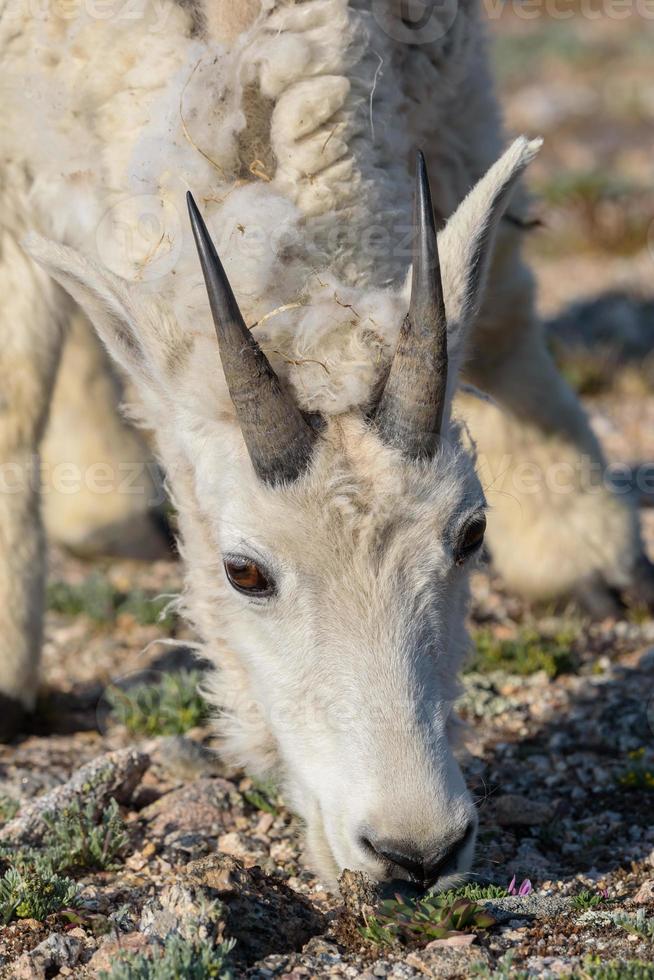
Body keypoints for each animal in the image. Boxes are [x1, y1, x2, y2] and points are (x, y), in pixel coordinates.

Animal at [2, 0, 652, 888]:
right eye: (241, 572)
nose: (417, 852)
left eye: (472, 533)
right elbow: (14, 385)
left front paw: (584, 550)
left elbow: (500, 303)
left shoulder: (445, 63)